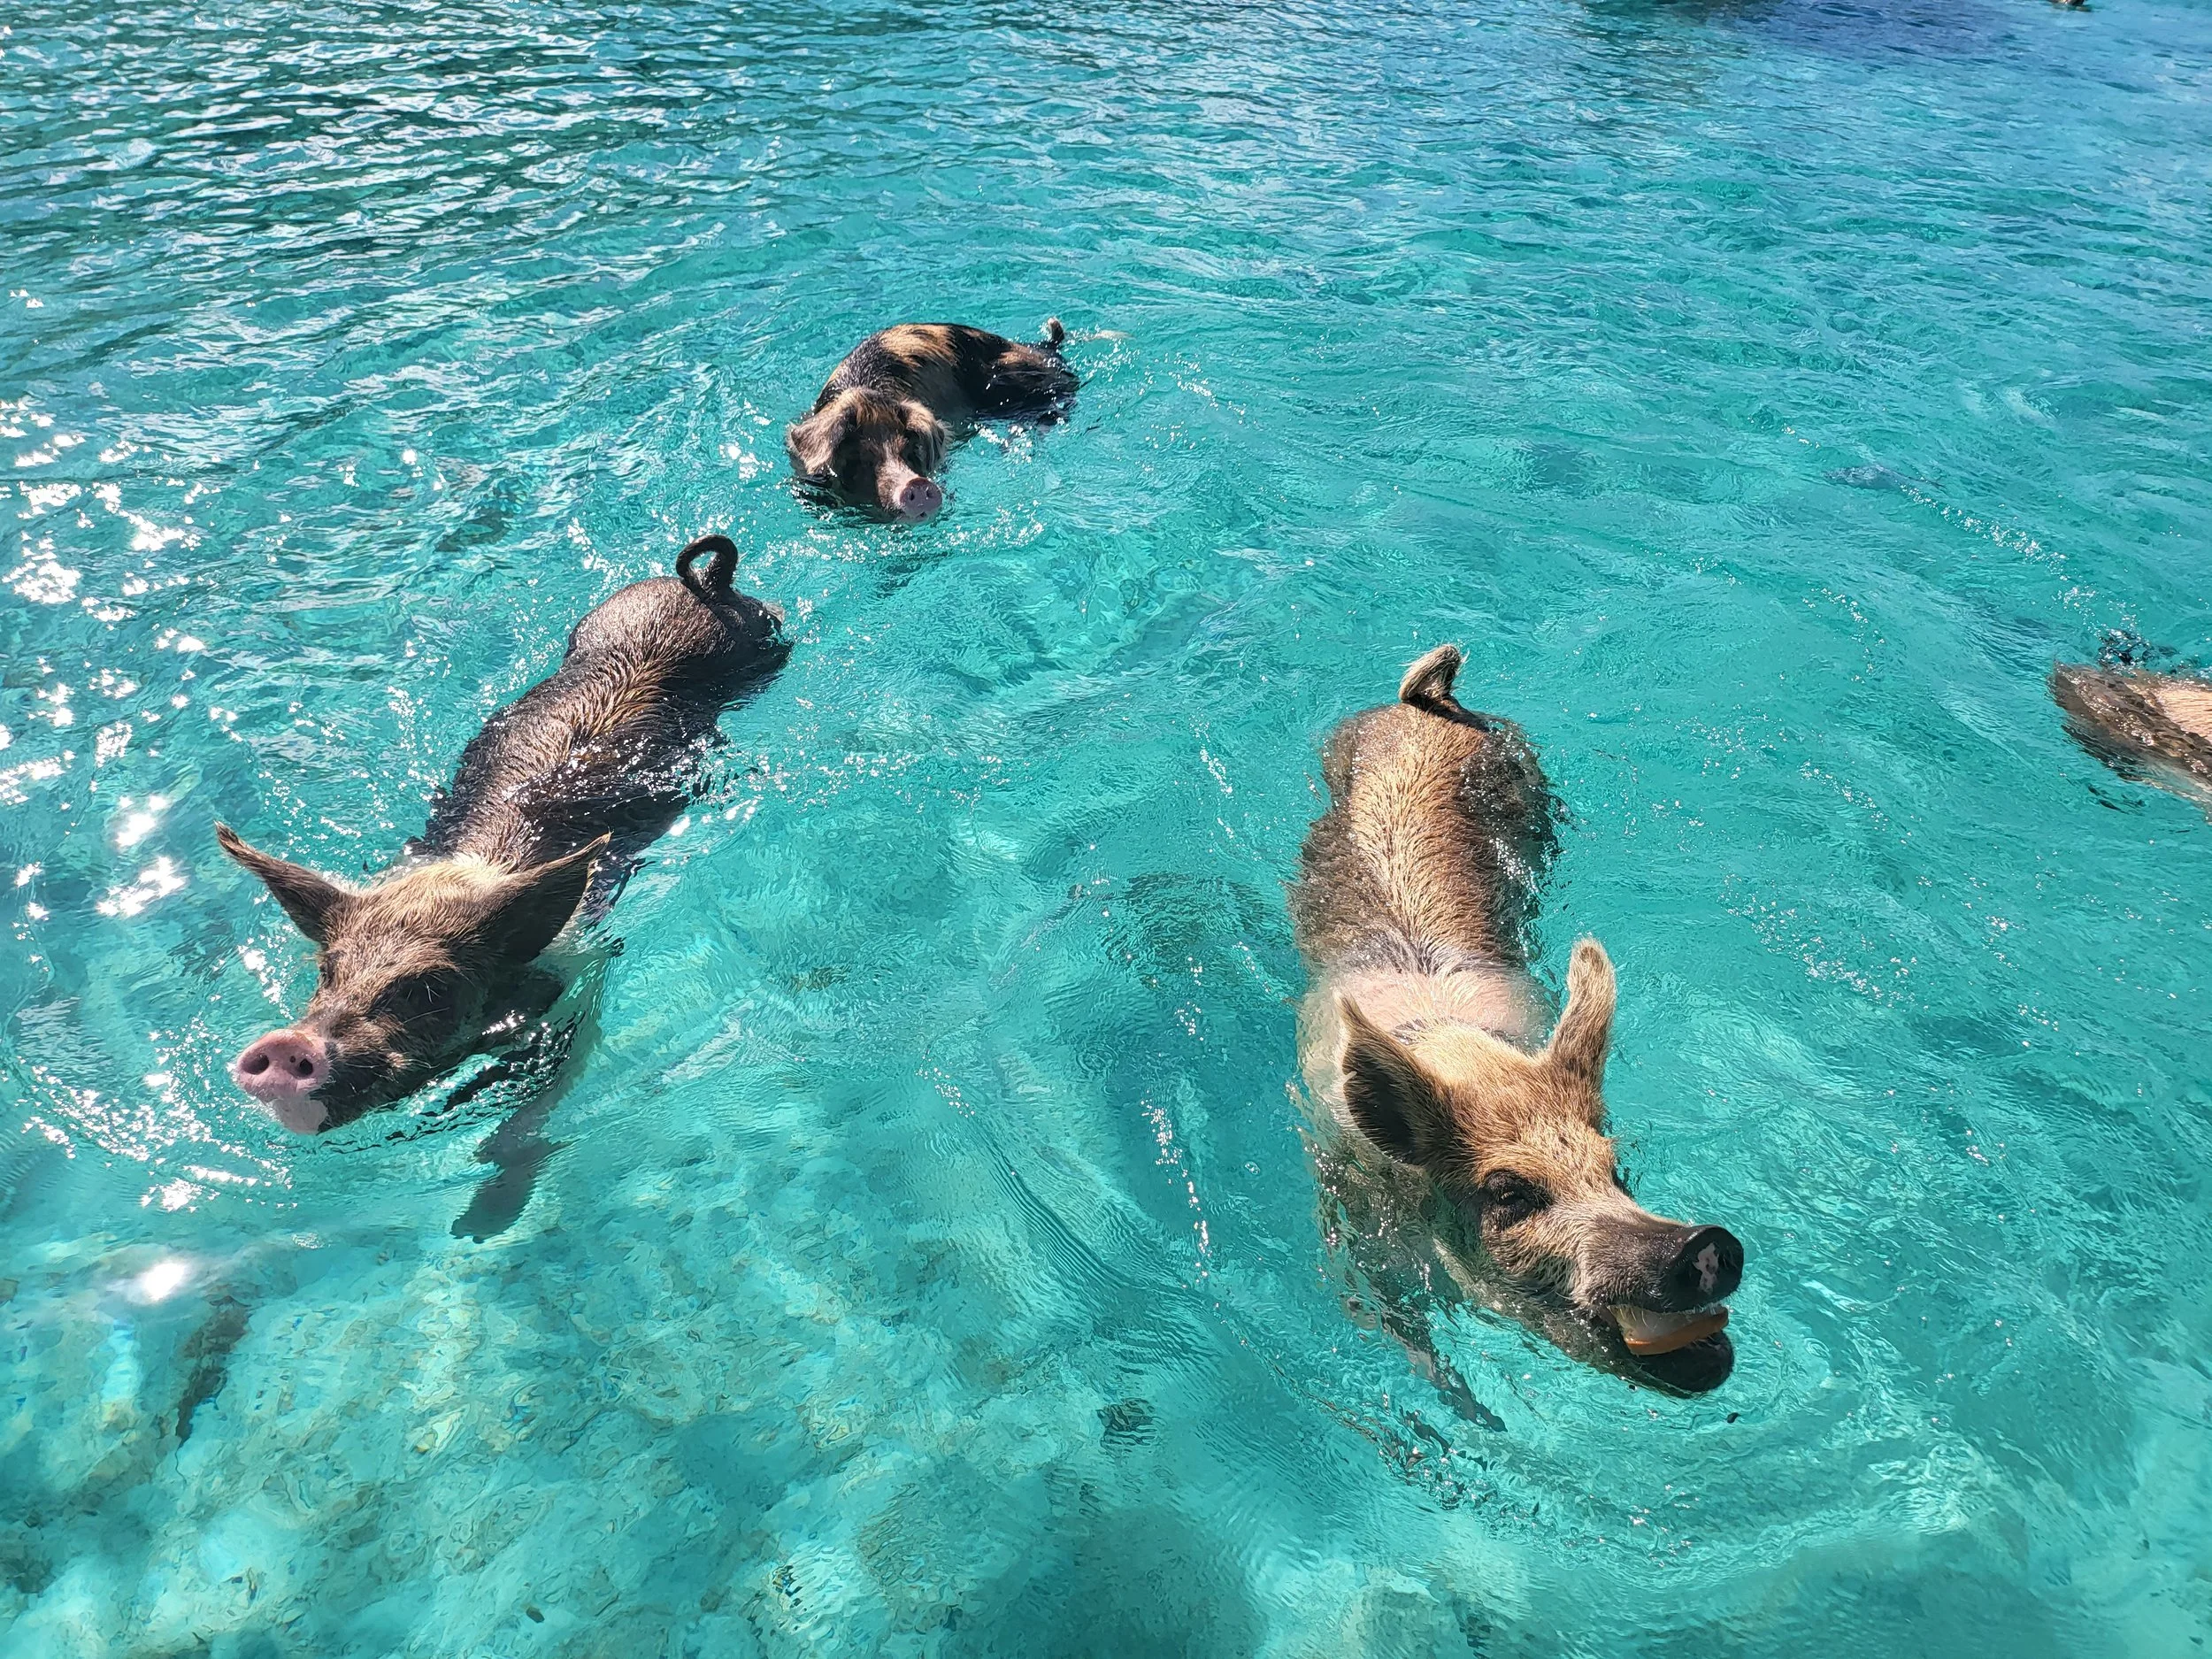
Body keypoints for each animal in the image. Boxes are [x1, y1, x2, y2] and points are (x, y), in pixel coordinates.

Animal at [219, 534, 787, 1134]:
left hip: (760, 645)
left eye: (431, 987)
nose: (287, 1044)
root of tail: (702, 584)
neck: (470, 870)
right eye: (327, 970)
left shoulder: (581, 977)